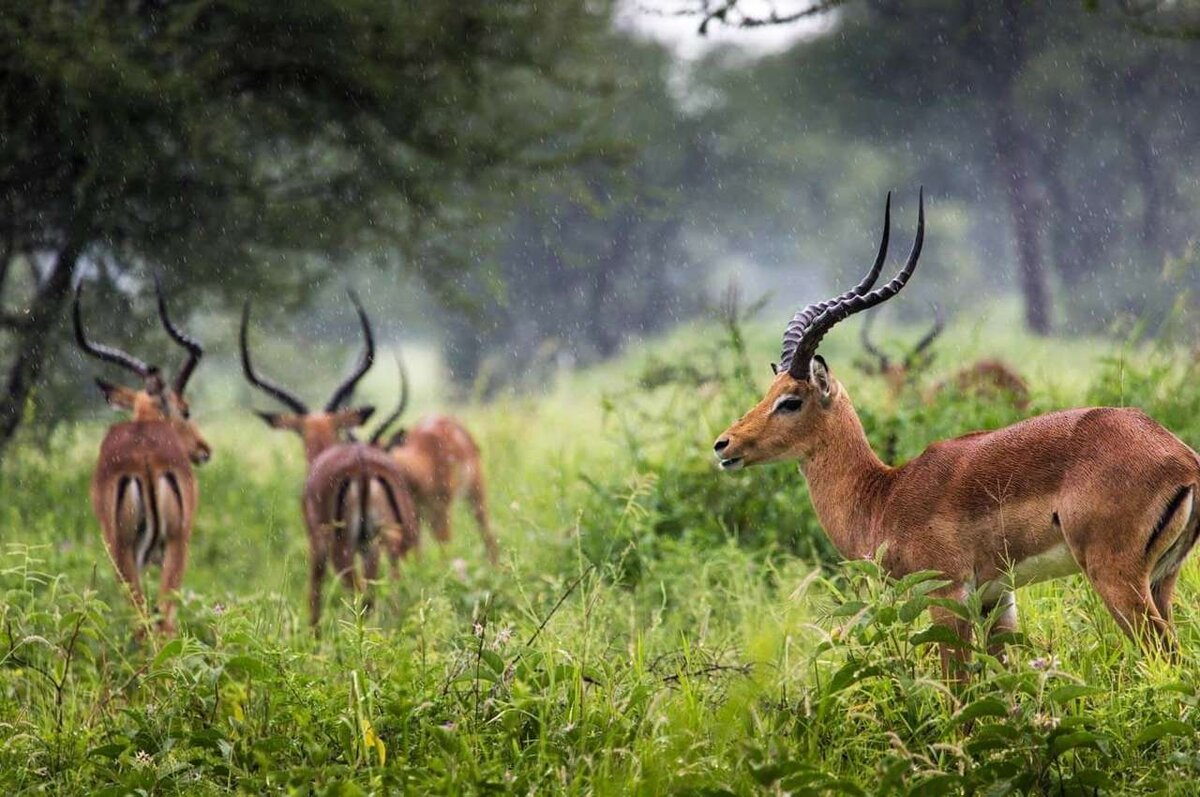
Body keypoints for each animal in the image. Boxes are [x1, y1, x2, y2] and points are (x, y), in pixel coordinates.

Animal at [75, 277, 211, 633]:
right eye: (185, 410)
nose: (204, 450)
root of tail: (146, 459)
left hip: (128, 551)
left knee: (146, 619)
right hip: (170, 547)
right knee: (159, 619)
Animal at [238, 292, 417, 628]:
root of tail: (362, 466)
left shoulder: (315, 547)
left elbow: (313, 600)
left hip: (341, 548)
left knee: (360, 595)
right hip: (385, 542)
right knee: (388, 591)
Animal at [364, 355, 496, 566]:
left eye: (380, 459)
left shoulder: (442, 510)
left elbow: (444, 548)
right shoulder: (415, 513)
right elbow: (417, 552)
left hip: (476, 492)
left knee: (488, 533)